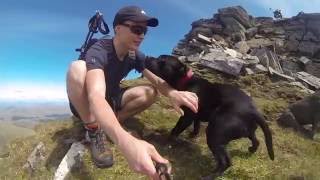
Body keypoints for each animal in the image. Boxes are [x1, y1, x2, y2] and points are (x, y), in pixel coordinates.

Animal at [146, 54, 274, 176]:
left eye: (162, 61)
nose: (147, 57)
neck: (186, 80)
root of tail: (253, 110)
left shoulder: (186, 117)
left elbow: (175, 130)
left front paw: (167, 142)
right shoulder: (195, 115)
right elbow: (196, 126)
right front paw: (192, 135)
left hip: (215, 134)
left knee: (226, 162)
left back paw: (211, 175)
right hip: (246, 130)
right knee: (256, 140)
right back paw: (251, 150)